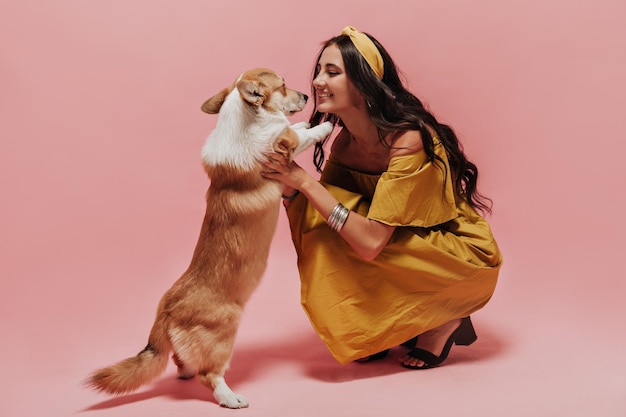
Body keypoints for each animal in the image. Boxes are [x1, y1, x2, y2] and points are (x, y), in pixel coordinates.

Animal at [86, 67, 336, 406]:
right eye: (283, 86)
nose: (308, 96)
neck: (245, 120)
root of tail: (166, 312)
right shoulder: (282, 146)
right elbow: (298, 135)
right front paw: (322, 126)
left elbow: (294, 126)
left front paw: (309, 121)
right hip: (226, 331)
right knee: (210, 374)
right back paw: (231, 398)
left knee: (182, 361)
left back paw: (186, 373)